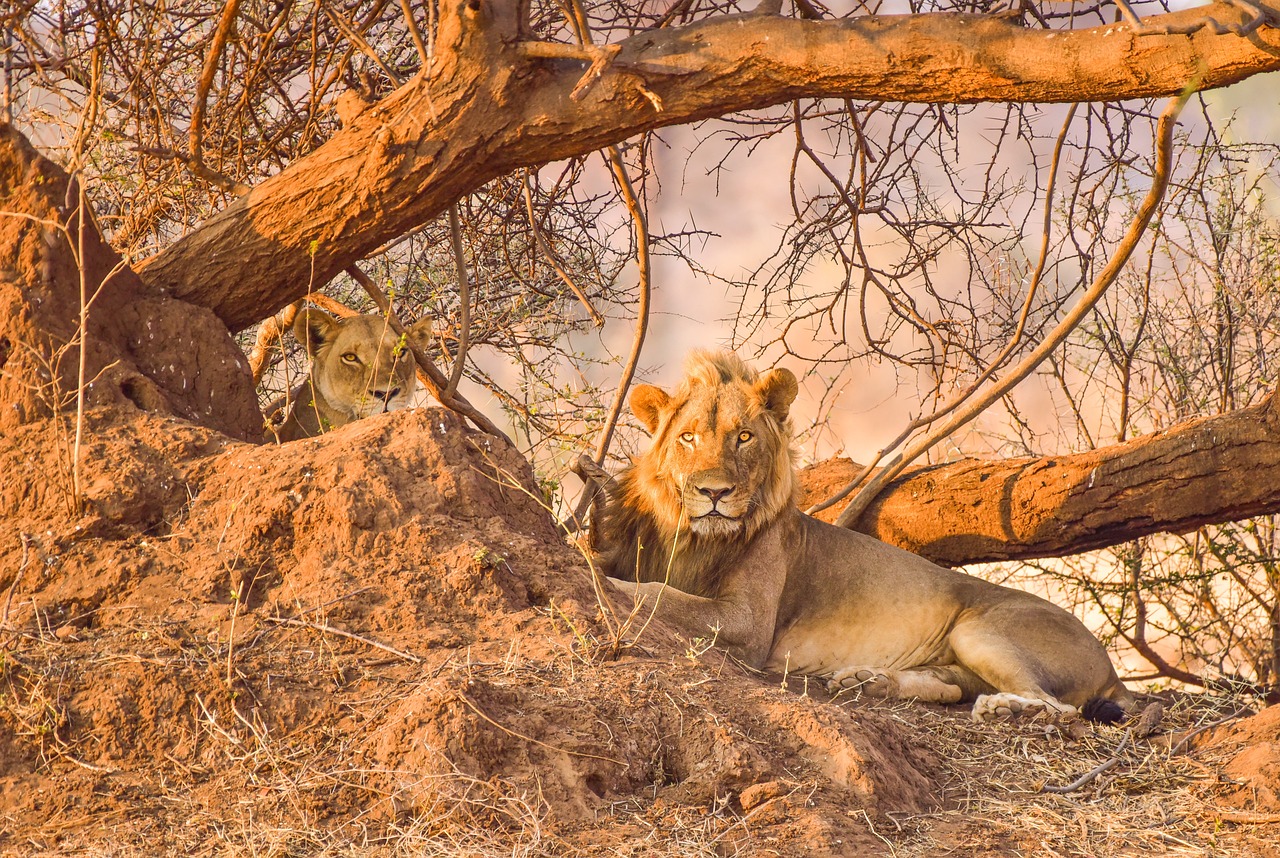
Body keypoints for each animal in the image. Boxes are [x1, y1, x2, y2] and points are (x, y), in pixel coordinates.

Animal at [604, 353, 1136, 722]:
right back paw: (869, 681)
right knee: (952, 686)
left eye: (744, 437)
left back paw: (1003, 708)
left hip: (980, 630)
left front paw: (608, 585)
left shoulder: (749, 623)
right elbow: (661, 587)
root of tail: (1112, 668)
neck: (698, 538)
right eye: (687, 438)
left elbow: (662, 595)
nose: (714, 492)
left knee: (1057, 707)